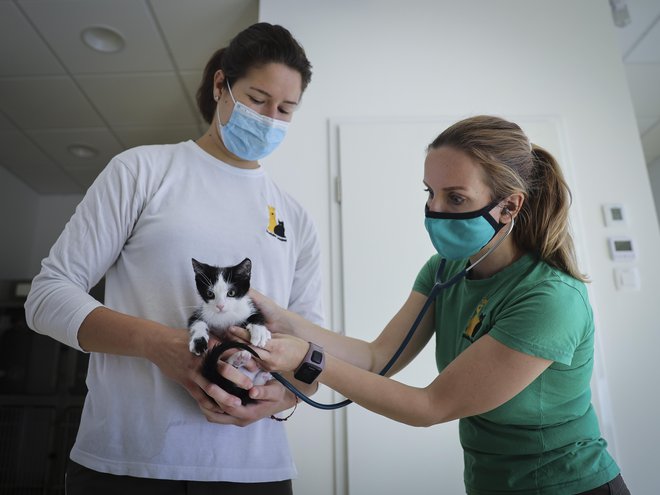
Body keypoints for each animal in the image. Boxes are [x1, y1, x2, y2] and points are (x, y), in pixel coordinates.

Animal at [189, 258, 272, 404]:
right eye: (210, 294)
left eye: (231, 293)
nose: (220, 306)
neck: (224, 316)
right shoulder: (201, 311)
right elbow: (197, 322)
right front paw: (199, 342)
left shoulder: (249, 306)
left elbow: (256, 315)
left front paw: (259, 330)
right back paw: (238, 360)